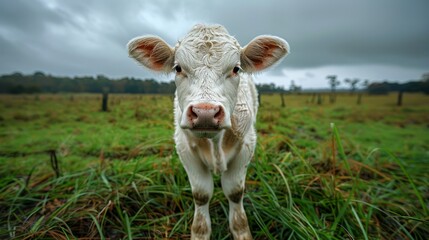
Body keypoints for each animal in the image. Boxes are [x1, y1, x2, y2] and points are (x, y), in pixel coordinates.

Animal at [127, 24, 288, 240]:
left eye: (236, 68)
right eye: (178, 68)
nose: (205, 113)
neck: (215, 143)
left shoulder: (246, 145)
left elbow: (235, 192)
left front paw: (241, 231)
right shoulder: (185, 149)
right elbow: (201, 194)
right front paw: (200, 232)